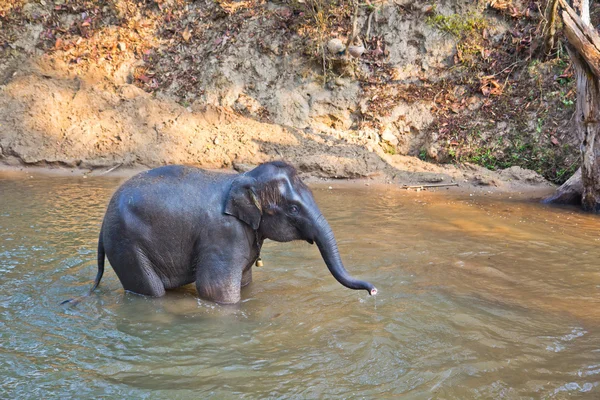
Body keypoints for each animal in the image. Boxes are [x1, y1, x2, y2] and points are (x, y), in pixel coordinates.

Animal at [64, 159, 376, 304]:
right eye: (293, 209)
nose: (373, 290)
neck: (244, 178)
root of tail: (103, 223)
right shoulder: (224, 235)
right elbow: (215, 290)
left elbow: (245, 281)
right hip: (127, 245)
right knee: (152, 292)